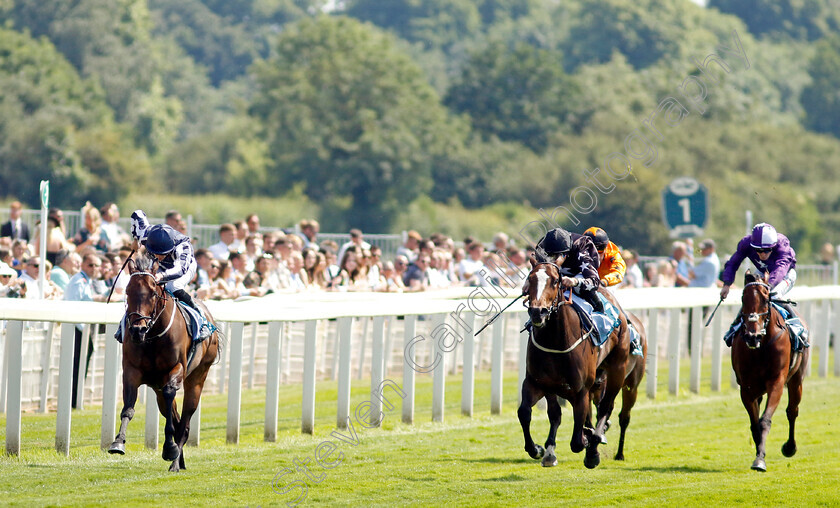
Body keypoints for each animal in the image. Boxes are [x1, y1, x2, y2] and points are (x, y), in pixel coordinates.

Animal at [107, 256, 220, 474]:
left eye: (152, 292)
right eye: (127, 291)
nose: (137, 329)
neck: (152, 337)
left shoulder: (176, 369)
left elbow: (171, 404)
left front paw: (169, 449)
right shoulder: (131, 372)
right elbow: (128, 408)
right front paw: (118, 443)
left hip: (197, 378)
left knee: (184, 423)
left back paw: (175, 462)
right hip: (157, 387)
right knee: (174, 417)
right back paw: (179, 460)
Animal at [520, 260, 648, 470]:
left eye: (555, 281)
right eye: (529, 279)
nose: (538, 312)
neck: (555, 342)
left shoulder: (581, 391)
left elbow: (577, 441)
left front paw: (590, 447)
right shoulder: (538, 383)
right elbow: (527, 413)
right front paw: (540, 450)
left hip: (623, 377)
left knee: (613, 411)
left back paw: (611, 452)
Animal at [736, 270, 808, 472]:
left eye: (766, 298)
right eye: (743, 298)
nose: (752, 336)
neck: (760, 348)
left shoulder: (776, 382)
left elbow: (765, 421)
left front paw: (760, 460)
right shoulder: (747, 389)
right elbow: (755, 425)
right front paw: (759, 455)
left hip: (796, 379)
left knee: (792, 411)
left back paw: (790, 447)